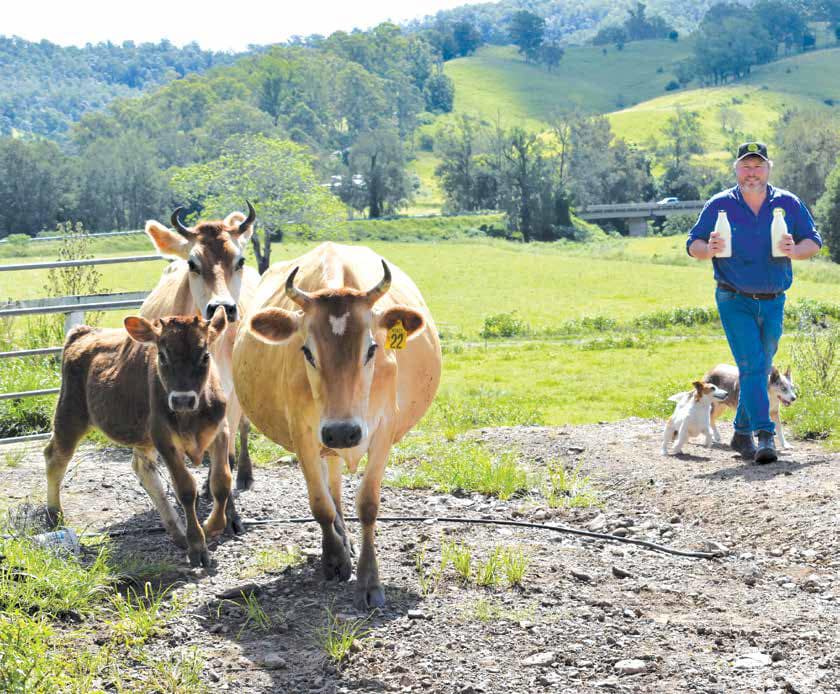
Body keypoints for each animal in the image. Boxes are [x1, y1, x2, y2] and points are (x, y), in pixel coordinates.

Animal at [44, 308, 240, 567]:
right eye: (163, 355)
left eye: (205, 355)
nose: (182, 399)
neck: (190, 416)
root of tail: (84, 332)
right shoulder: (163, 437)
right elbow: (186, 489)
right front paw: (198, 545)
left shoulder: (221, 432)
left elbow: (222, 482)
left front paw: (210, 527)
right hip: (71, 413)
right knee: (55, 457)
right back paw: (54, 514)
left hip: (141, 437)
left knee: (143, 469)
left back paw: (178, 532)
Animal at [142, 204, 261, 491]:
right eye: (192, 263)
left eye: (240, 261)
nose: (223, 307)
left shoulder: (231, 394)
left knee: (242, 427)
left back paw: (244, 472)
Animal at [232, 242, 441, 608]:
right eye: (306, 351)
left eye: (372, 348)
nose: (342, 431)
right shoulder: (303, 433)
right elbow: (320, 504)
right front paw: (334, 559)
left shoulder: (383, 429)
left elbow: (368, 503)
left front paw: (369, 580)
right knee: (331, 489)